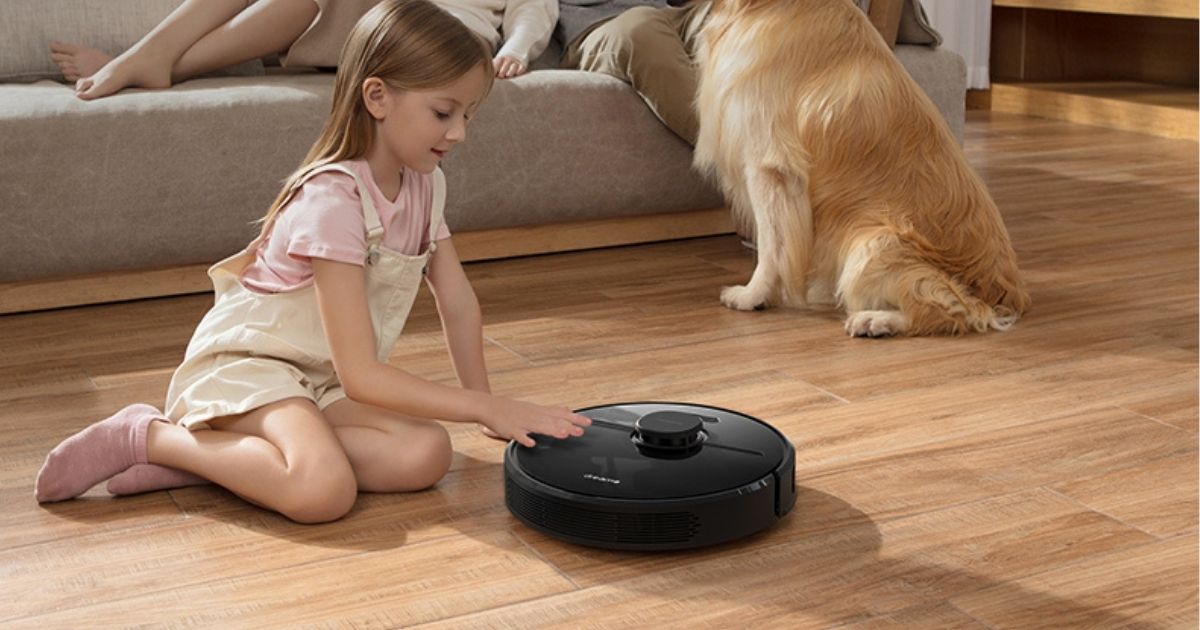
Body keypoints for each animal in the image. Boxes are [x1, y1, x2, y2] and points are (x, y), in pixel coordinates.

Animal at [696, 0, 1032, 333]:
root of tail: (1008, 295)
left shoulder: (770, 166)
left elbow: (771, 248)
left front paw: (752, 296)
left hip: (873, 244)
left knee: (949, 311)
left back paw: (874, 320)